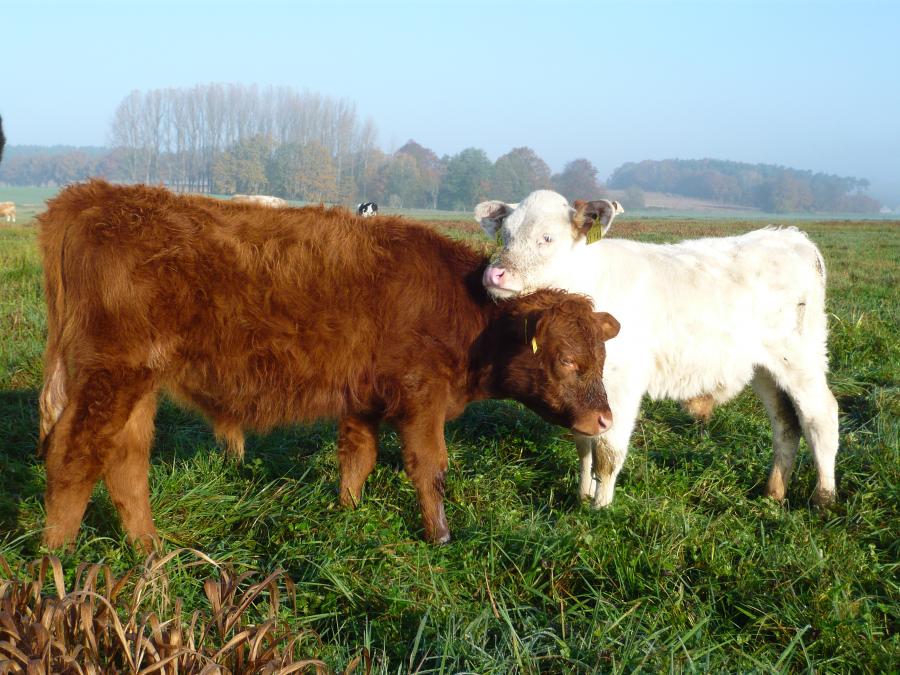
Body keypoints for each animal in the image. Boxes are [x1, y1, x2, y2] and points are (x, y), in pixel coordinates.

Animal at [40, 180, 620, 548]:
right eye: (567, 360)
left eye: (601, 359)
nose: (605, 419)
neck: (459, 306)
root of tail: (91, 196)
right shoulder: (421, 399)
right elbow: (428, 468)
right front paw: (440, 536)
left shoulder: (363, 397)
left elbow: (357, 458)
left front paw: (348, 513)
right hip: (111, 378)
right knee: (74, 459)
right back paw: (59, 570)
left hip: (136, 386)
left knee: (125, 464)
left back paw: (149, 553)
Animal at [478, 187, 836, 510]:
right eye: (505, 235)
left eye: (547, 238)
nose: (495, 273)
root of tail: (791, 237)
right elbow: (584, 442)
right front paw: (582, 494)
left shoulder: (620, 384)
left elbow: (607, 452)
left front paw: (599, 508)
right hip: (765, 368)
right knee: (785, 424)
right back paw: (774, 492)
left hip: (802, 358)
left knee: (821, 416)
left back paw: (824, 498)